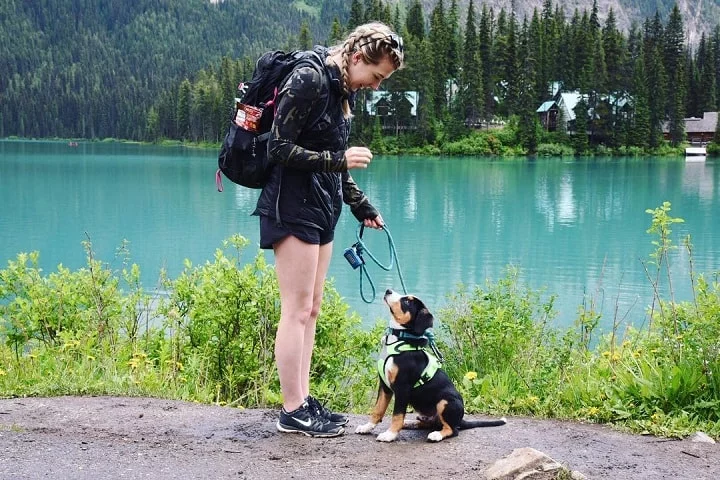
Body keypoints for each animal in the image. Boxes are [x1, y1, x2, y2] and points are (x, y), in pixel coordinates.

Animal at [354, 288, 506, 442]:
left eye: (406, 301)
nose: (388, 290)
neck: (400, 339)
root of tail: (461, 420)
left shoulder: (403, 388)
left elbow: (397, 415)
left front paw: (390, 435)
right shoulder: (384, 386)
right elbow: (377, 410)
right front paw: (367, 427)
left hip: (445, 401)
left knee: (452, 429)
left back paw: (436, 435)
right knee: (428, 423)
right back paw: (410, 423)